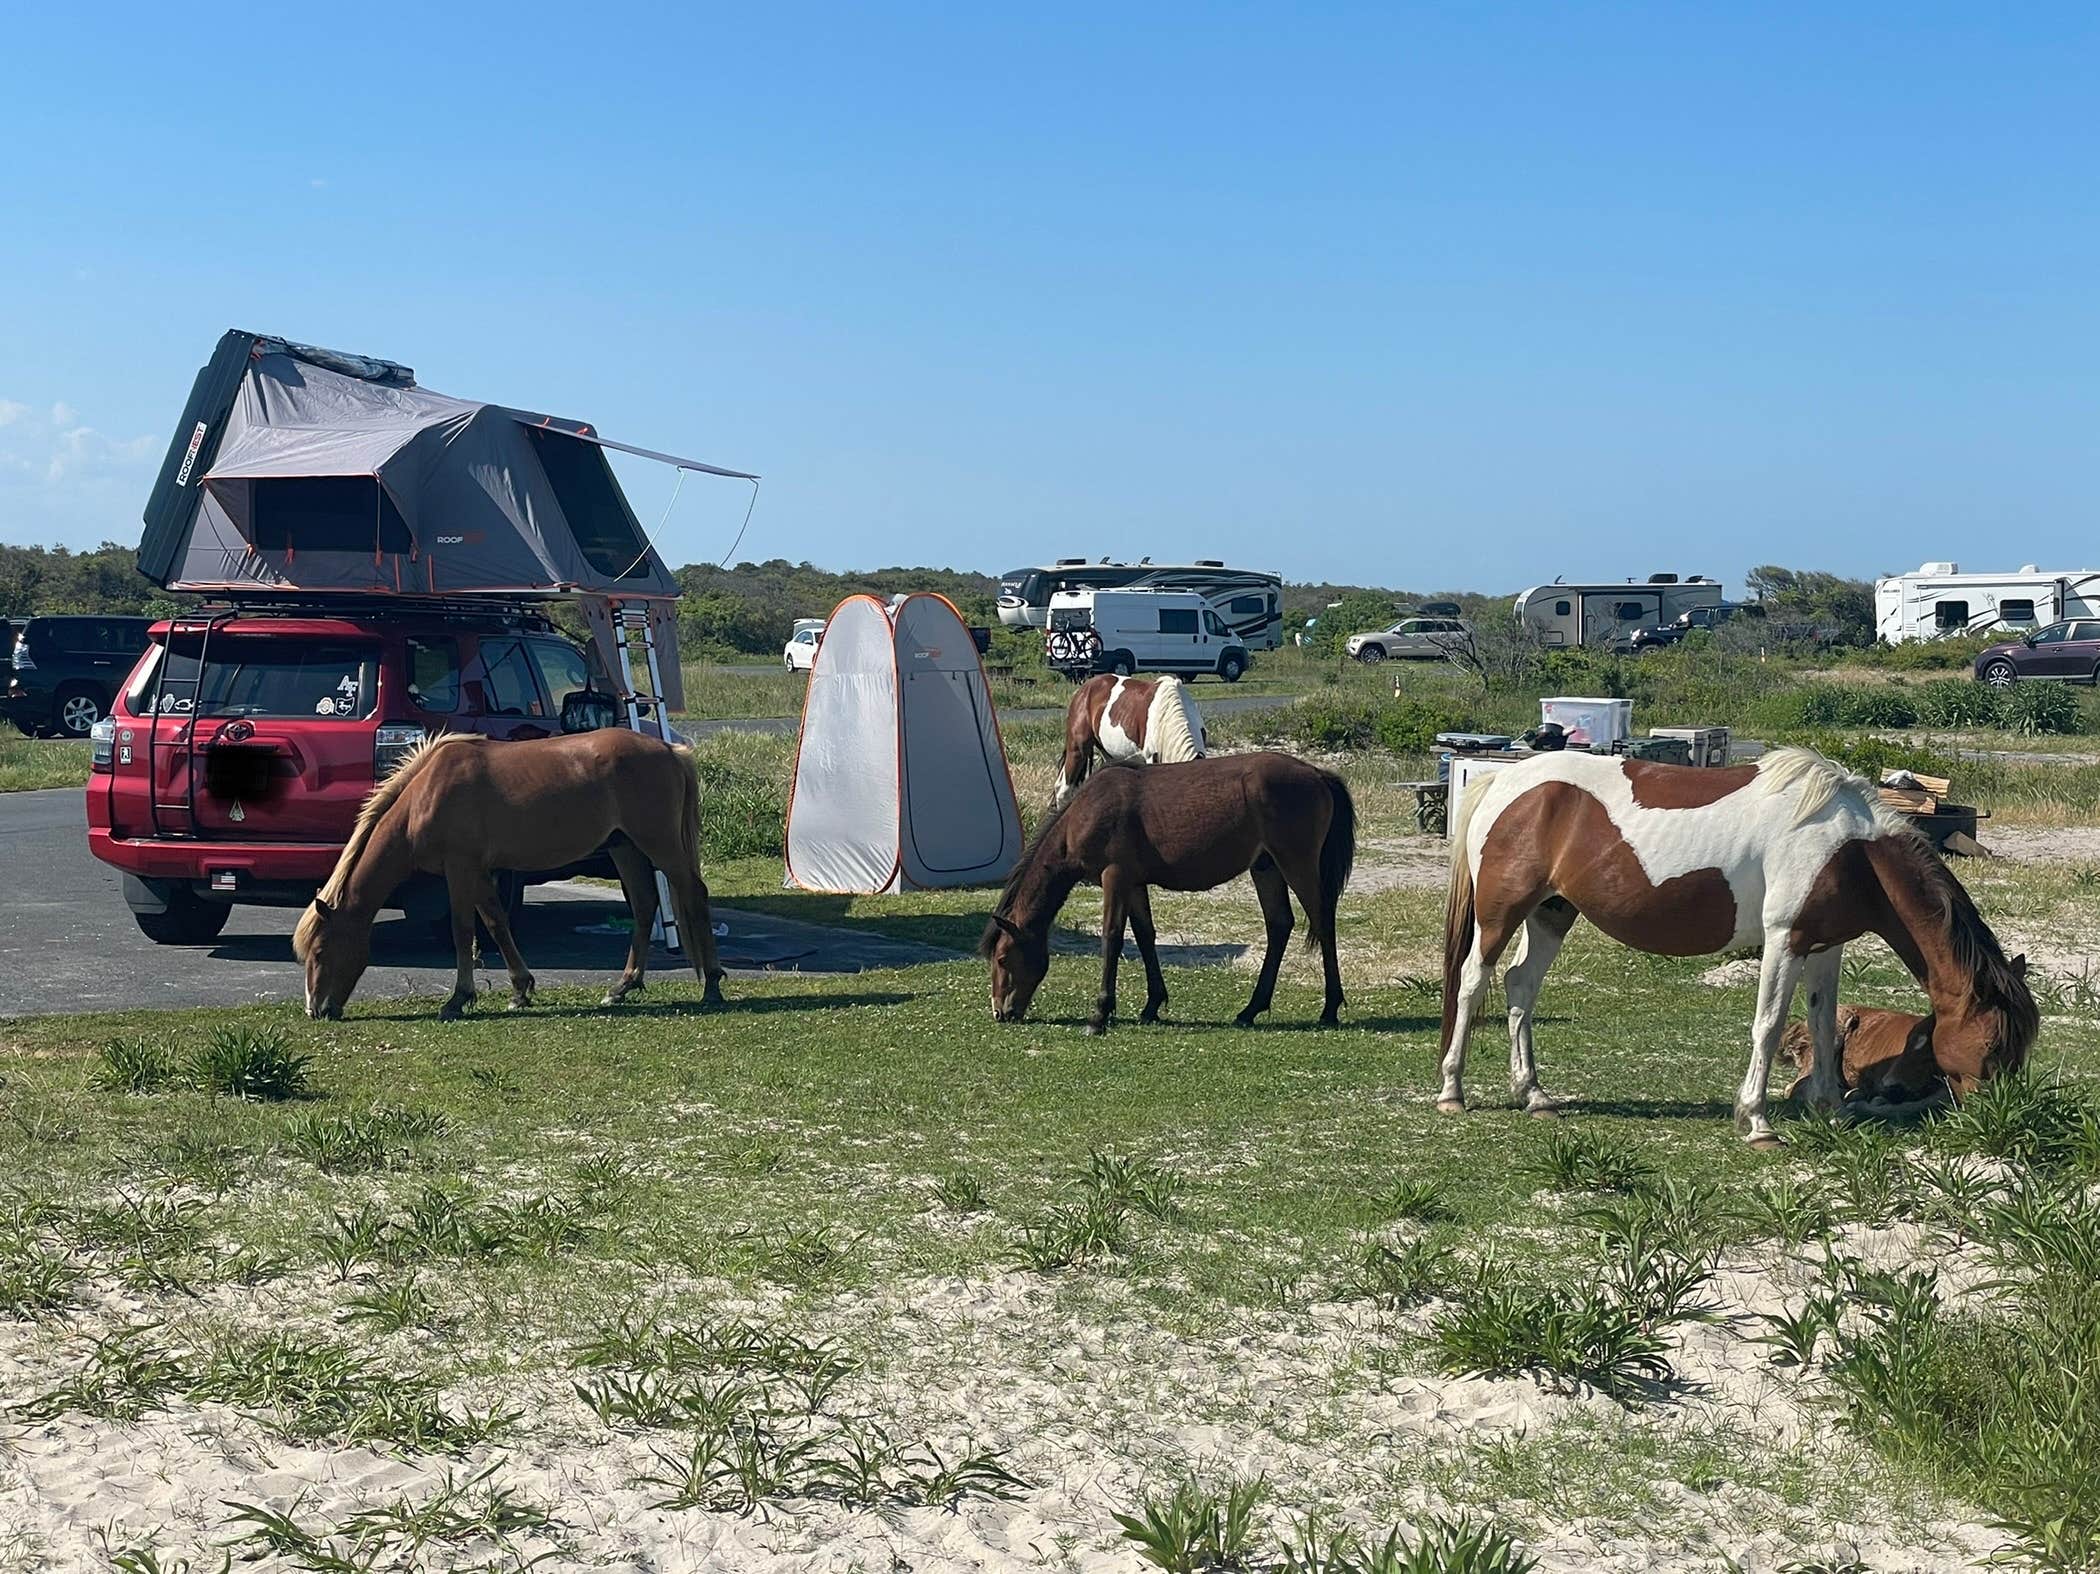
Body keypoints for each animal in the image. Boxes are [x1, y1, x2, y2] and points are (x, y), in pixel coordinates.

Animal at [293, 729, 726, 1021]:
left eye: (320, 952)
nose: (317, 1010)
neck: (427, 794)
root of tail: (669, 750)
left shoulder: (460, 868)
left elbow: (463, 930)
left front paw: (458, 999)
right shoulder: (481, 873)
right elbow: (496, 924)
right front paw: (520, 990)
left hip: (660, 845)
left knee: (693, 894)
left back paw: (712, 986)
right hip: (626, 848)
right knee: (644, 905)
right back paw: (623, 987)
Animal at [982, 752, 1354, 1033]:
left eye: (1002, 958)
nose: (1000, 1012)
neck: (1087, 812)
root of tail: (1317, 774)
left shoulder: (1115, 877)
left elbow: (1112, 938)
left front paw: (1100, 1014)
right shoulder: (1133, 883)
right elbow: (1145, 935)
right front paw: (1152, 1004)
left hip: (1296, 864)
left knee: (1323, 922)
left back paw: (1329, 1009)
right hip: (1266, 868)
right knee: (1279, 925)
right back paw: (1251, 1009)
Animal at [1438, 747, 2034, 1146]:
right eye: (1989, 1046)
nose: (2000, 1121)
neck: (1849, 849)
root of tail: (1501, 780)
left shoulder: (1825, 946)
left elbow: (1824, 1024)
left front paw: (1831, 1109)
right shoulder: (1784, 940)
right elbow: (1768, 1026)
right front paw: (1758, 1122)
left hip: (1552, 913)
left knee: (1520, 986)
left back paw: (1533, 1095)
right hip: (1501, 915)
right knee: (1472, 983)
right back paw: (1452, 1092)